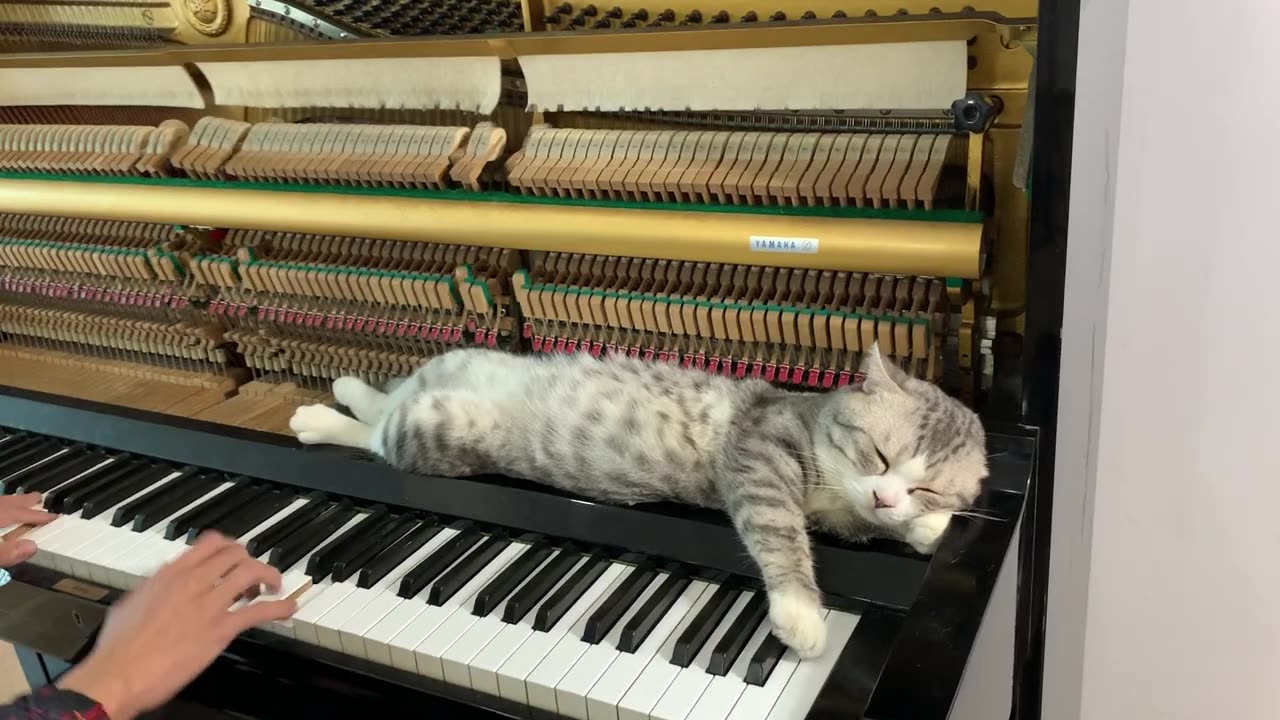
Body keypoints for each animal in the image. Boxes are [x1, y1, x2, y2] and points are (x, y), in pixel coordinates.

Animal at [293, 340, 988, 655]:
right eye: (879, 454)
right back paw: (323, 410)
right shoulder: (759, 453)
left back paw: (341, 396)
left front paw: (929, 527)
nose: (889, 497)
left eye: (924, 486)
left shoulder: (846, 513)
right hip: (435, 418)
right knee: (378, 428)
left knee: (385, 415)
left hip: (435, 416)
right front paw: (800, 613)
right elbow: (778, 533)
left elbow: (874, 526)